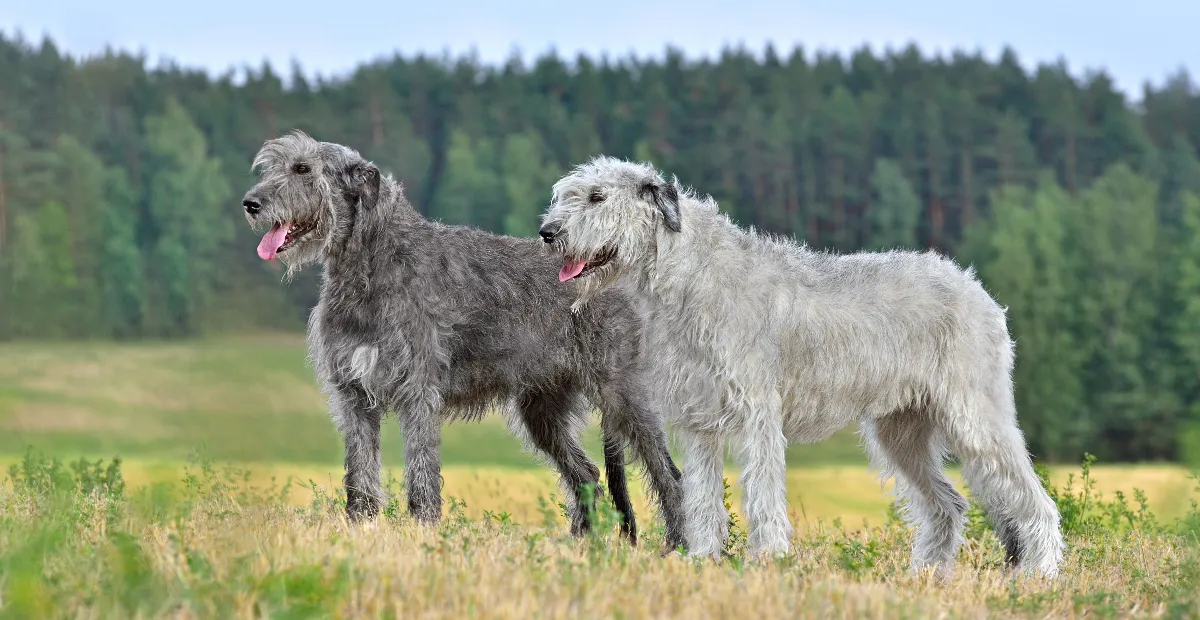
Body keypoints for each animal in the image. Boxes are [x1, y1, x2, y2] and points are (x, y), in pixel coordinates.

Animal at [238, 130, 686, 546]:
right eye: (274, 167)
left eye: (303, 169)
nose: (251, 203)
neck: (373, 260)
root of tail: (612, 267)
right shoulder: (354, 393)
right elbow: (360, 473)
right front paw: (360, 530)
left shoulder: (417, 392)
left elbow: (422, 472)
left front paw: (423, 533)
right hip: (543, 407)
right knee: (587, 474)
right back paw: (580, 545)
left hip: (622, 393)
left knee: (668, 474)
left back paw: (679, 546)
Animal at [540, 153, 1065, 575]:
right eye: (563, 195)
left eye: (597, 196)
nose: (548, 232)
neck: (689, 275)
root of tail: (978, 290)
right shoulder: (699, 418)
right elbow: (702, 495)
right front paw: (704, 559)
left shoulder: (757, 411)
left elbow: (763, 490)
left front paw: (768, 559)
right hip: (901, 431)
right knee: (948, 505)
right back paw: (927, 576)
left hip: (977, 417)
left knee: (1035, 501)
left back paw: (1039, 576)